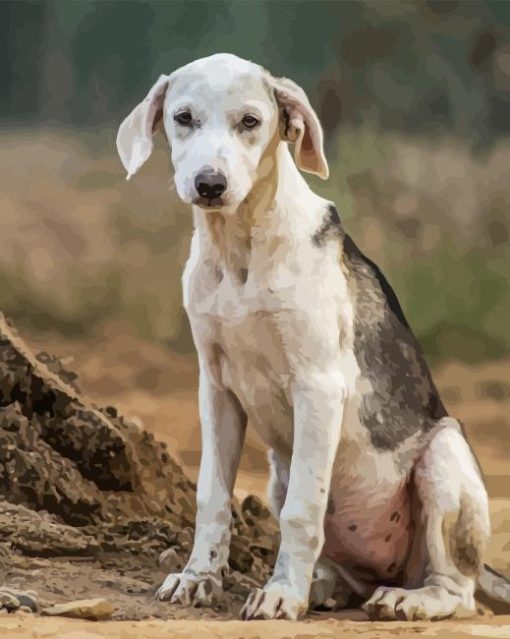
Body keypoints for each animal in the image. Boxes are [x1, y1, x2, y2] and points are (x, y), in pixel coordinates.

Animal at [115, 52, 510, 624]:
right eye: (183, 118)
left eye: (250, 122)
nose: (210, 184)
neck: (240, 247)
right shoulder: (215, 389)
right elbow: (212, 496)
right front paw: (198, 577)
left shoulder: (318, 387)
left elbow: (303, 511)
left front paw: (281, 594)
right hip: (279, 473)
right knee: (349, 575)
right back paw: (325, 586)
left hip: (443, 455)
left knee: (457, 590)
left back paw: (409, 599)